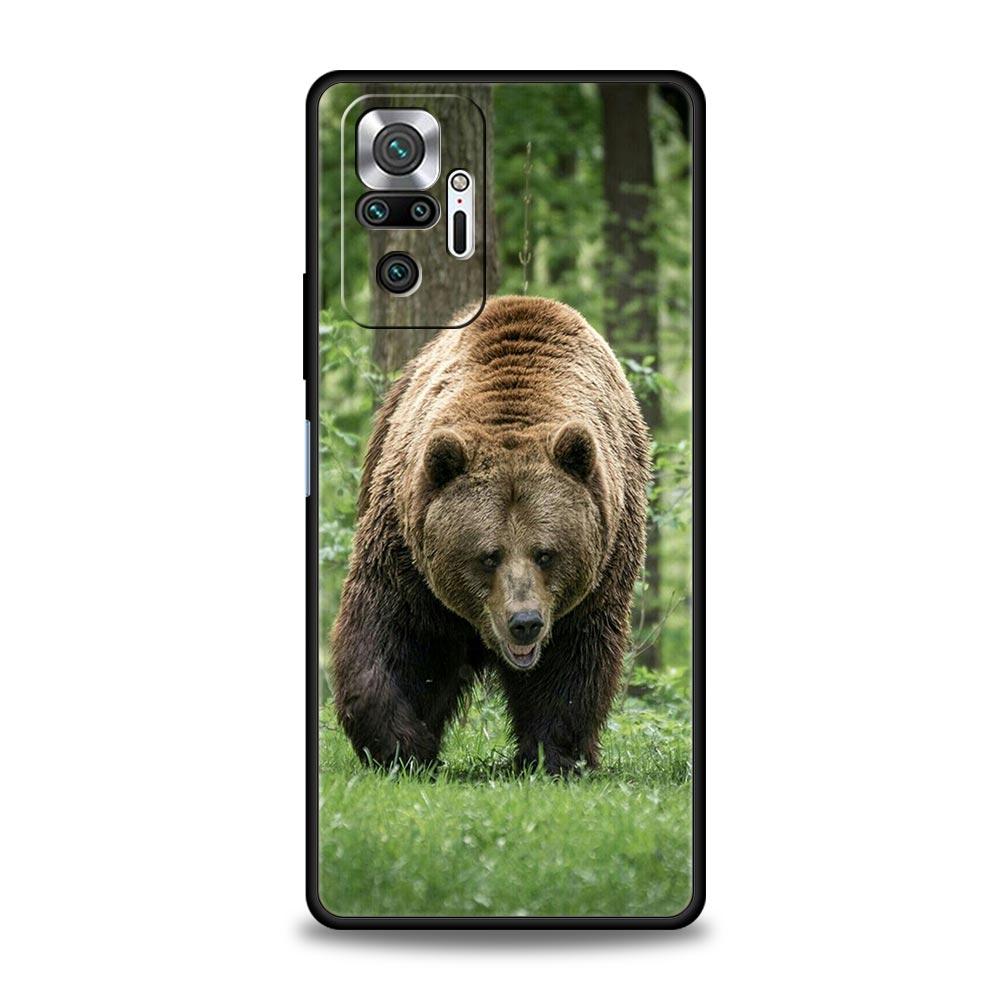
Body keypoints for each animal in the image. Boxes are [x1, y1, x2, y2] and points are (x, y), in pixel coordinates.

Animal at [330, 295, 650, 774]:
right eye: (488, 555)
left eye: (545, 553)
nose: (525, 622)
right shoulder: (406, 553)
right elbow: (389, 634)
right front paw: (402, 745)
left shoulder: (602, 565)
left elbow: (574, 660)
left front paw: (554, 755)